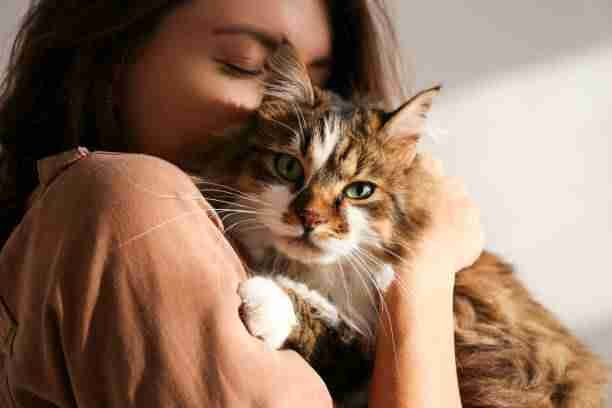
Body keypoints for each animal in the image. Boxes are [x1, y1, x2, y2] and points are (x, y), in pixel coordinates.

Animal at [191, 45, 608, 408]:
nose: (310, 218)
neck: (323, 275)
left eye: (359, 190)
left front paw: (270, 300)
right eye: (288, 167)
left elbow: (334, 332)